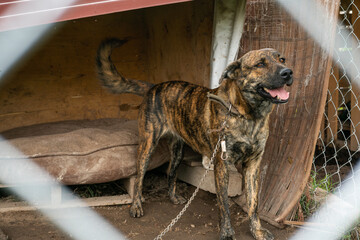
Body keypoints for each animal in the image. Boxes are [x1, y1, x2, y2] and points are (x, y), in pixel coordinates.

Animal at [95, 38, 292, 239]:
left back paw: (173, 197)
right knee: (139, 177)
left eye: (282, 59)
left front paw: (257, 231)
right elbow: (224, 204)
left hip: (177, 151)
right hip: (147, 144)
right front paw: (227, 233)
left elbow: (253, 203)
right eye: (260, 64)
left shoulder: (253, 165)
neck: (248, 115)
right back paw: (136, 205)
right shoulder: (222, 164)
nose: (288, 72)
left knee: (171, 172)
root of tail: (154, 87)